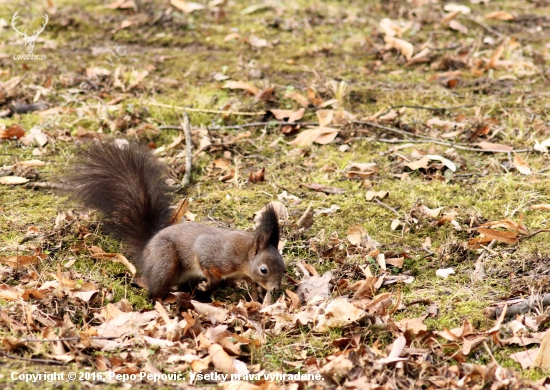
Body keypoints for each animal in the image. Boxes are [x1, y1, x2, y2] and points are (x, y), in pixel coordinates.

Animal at [64, 142, 286, 300]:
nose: (276, 288)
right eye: (264, 269)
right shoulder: (215, 253)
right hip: (166, 261)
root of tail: (146, 250)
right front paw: (210, 283)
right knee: (154, 288)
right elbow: (207, 263)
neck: (243, 257)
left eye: (283, 267)